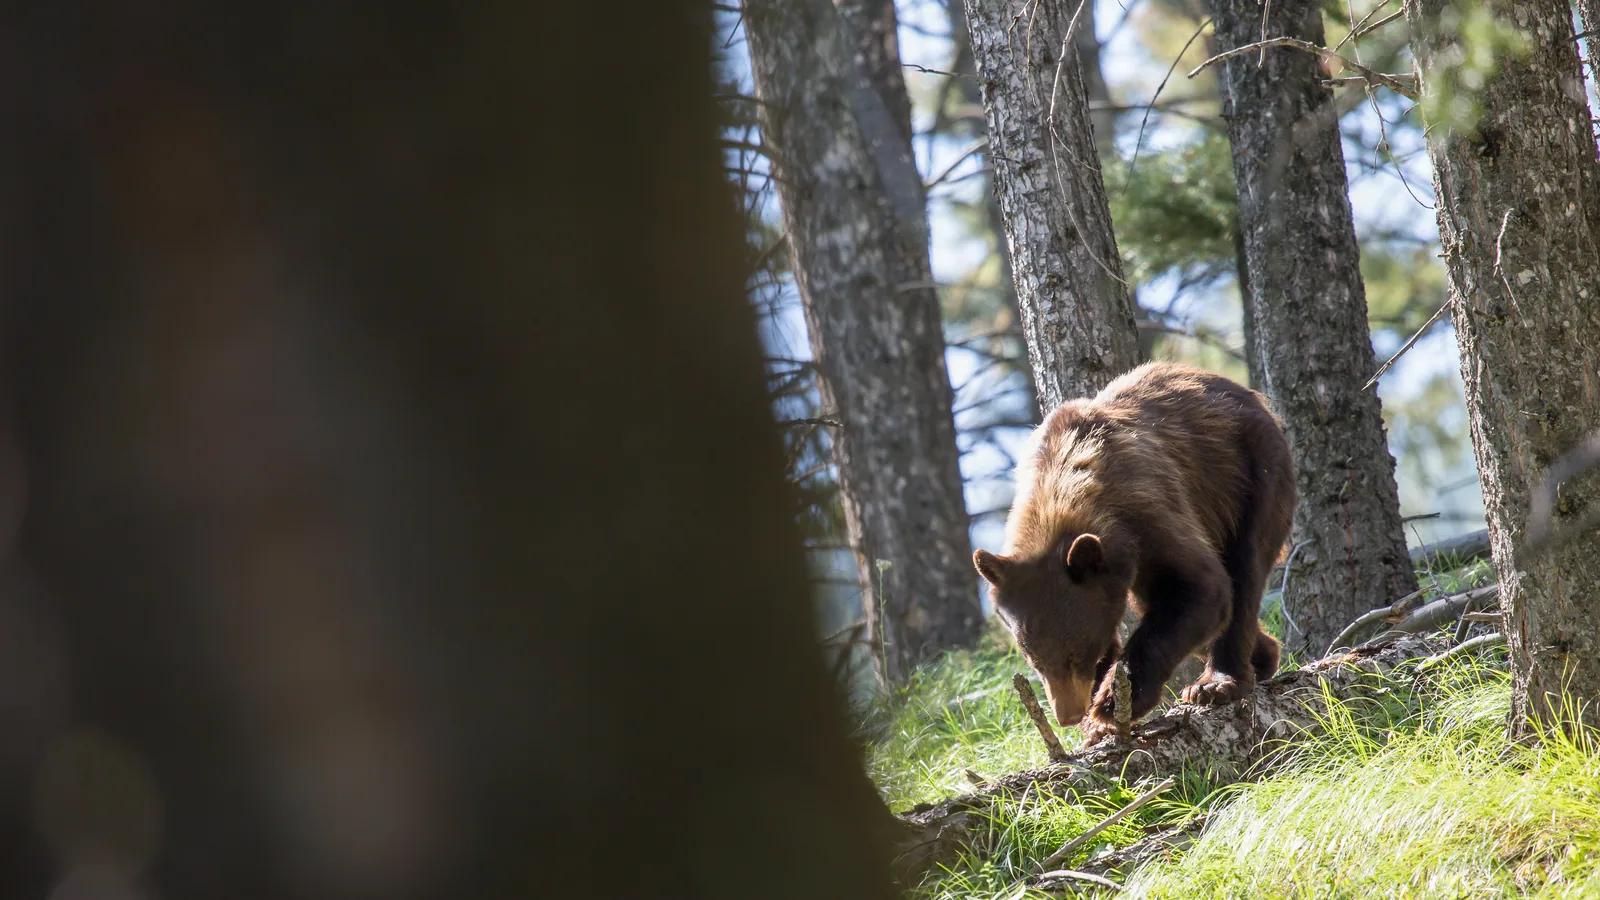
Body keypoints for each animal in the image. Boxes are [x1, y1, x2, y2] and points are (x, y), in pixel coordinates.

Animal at [973, 361, 1294, 746]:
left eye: (1076, 653)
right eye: (1033, 658)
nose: (1068, 716)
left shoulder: (1147, 510)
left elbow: (1202, 588)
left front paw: (1111, 704)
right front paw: (1097, 724)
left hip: (1250, 474)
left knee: (1243, 572)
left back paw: (1218, 683)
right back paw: (1263, 656)